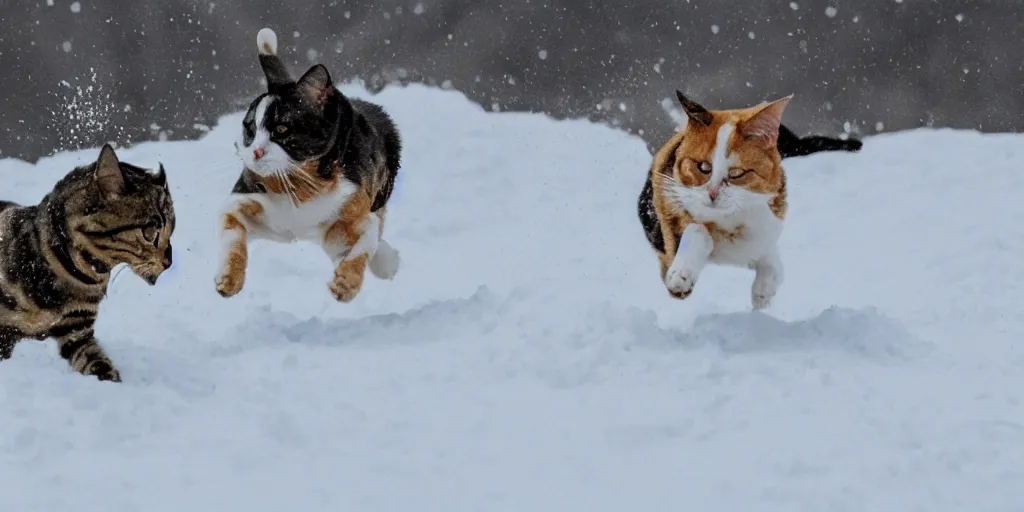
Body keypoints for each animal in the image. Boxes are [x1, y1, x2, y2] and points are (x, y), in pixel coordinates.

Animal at [216, 28, 403, 301]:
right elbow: (233, 236)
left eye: (281, 129)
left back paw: (387, 264)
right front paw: (229, 279)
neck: (301, 183)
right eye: (249, 128)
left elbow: (364, 245)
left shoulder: (357, 215)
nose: (256, 152)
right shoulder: (240, 203)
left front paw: (345, 285)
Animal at [638, 90, 790, 309]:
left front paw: (763, 293)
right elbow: (696, 231)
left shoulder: (764, 232)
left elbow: (773, 265)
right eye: (703, 167)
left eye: (736, 173)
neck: (729, 224)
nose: (712, 193)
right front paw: (681, 276)